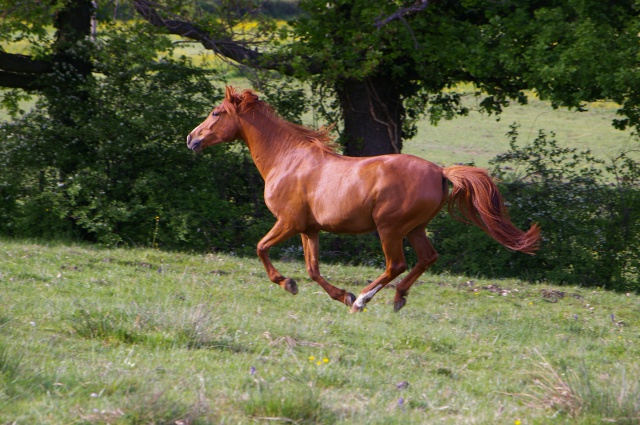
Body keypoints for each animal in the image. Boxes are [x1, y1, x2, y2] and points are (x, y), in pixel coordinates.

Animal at [186, 87, 540, 312]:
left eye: (216, 112)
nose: (191, 138)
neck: (286, 160)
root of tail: (440, 171)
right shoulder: (309, 229)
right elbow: (313, 269)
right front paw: (339, 294)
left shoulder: (287, 222)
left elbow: (261, 248)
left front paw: (288, 283)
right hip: (415, 228)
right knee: (427, 258)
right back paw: (396, 298)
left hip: (390, 228)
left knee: (396, 264)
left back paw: (363, 301)